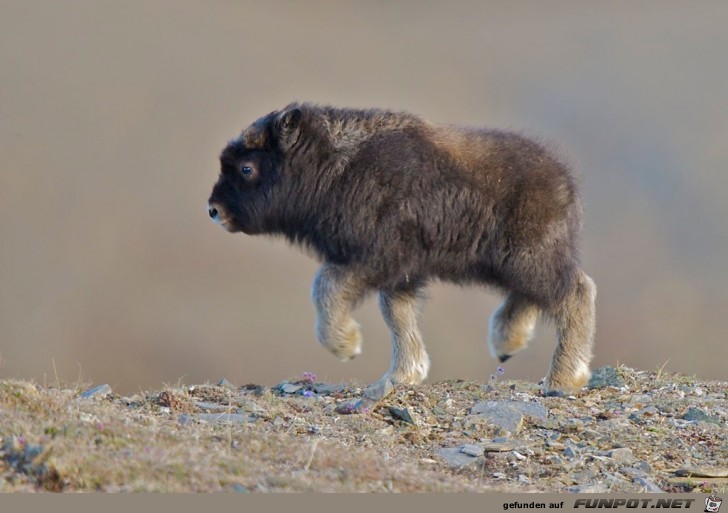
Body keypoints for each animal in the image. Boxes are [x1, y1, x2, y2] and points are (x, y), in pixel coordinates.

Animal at [208, 101, 596, 396]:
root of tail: (564, 181)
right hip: (514, 263)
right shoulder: (399, 272)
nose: (214, 210)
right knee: (532, 296)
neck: (335, 167)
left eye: (247, 167)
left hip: (528, 258)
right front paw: (404, 374)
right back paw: (506, 343)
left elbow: (326, 287)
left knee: (576, 292)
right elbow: (398, 315)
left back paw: (564, 379)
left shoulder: (373, 258)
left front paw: (346, 346)